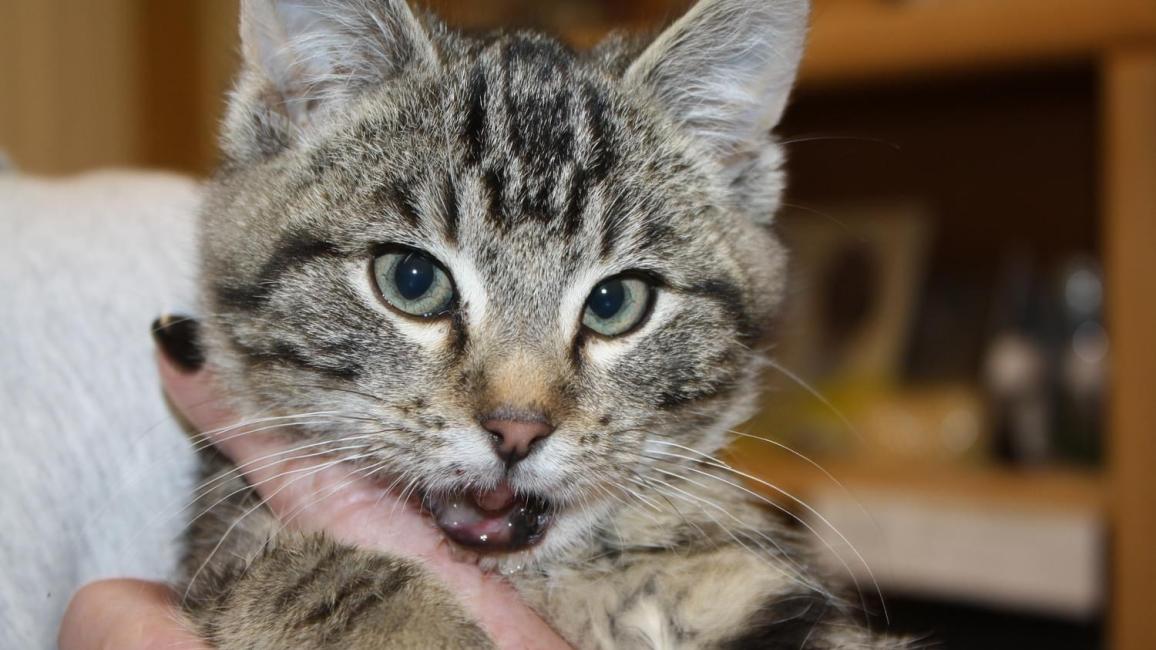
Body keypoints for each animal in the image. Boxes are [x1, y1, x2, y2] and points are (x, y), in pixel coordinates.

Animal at [182, 0, 901, 643]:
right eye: (411, 280)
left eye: (615, 302)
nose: (517, 430)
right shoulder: (220, 542)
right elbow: (292, 573)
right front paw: (410, 624)